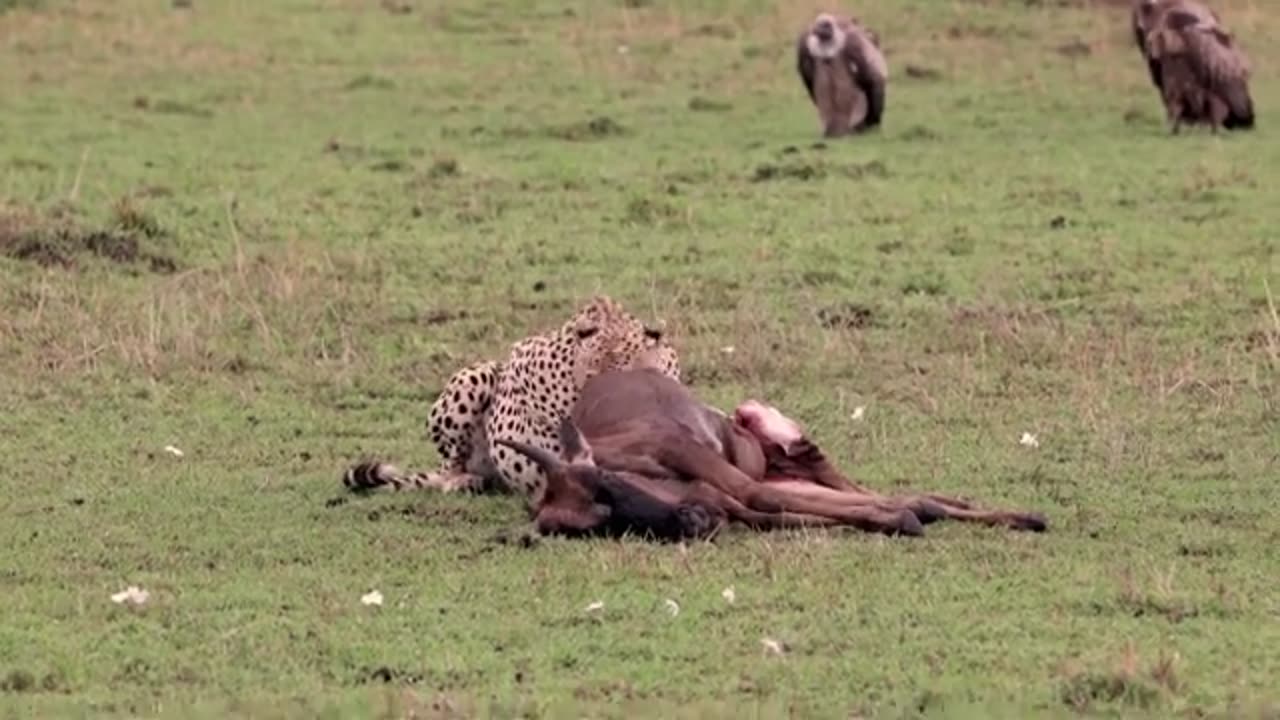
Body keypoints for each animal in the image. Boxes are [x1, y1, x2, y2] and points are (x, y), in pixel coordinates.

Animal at [494, 366, 1044, 540]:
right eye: (600, 529)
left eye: (604, 489)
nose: (693, 523)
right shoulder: (729, 503)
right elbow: (779, 513)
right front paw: (896, 520)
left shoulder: (711, 471)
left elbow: (762, 498)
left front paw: (905, 517)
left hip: (773, 462)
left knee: (840, 476)